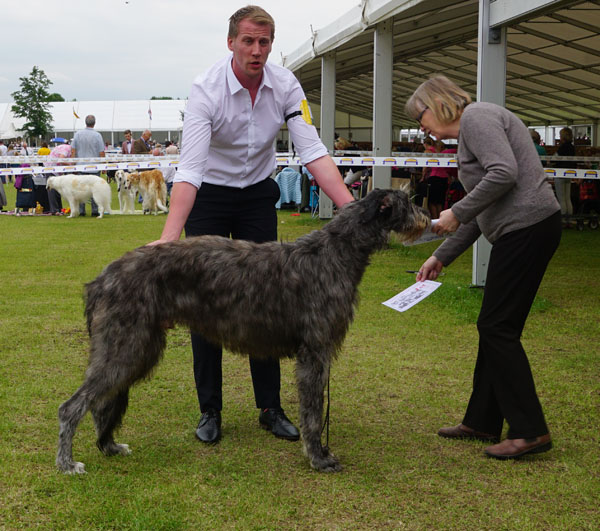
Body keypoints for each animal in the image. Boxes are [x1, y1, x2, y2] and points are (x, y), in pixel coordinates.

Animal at [56, 189, 428, 476]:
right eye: (408, 202)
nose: (428, 217)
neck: (336, 252)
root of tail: (101, 279)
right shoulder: (315, 352)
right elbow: (312, 411)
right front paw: (319, 457)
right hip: (126, 344)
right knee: (72, 406)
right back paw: (67, 462)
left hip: (136, 347)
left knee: (101, 402)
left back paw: (108, 445)